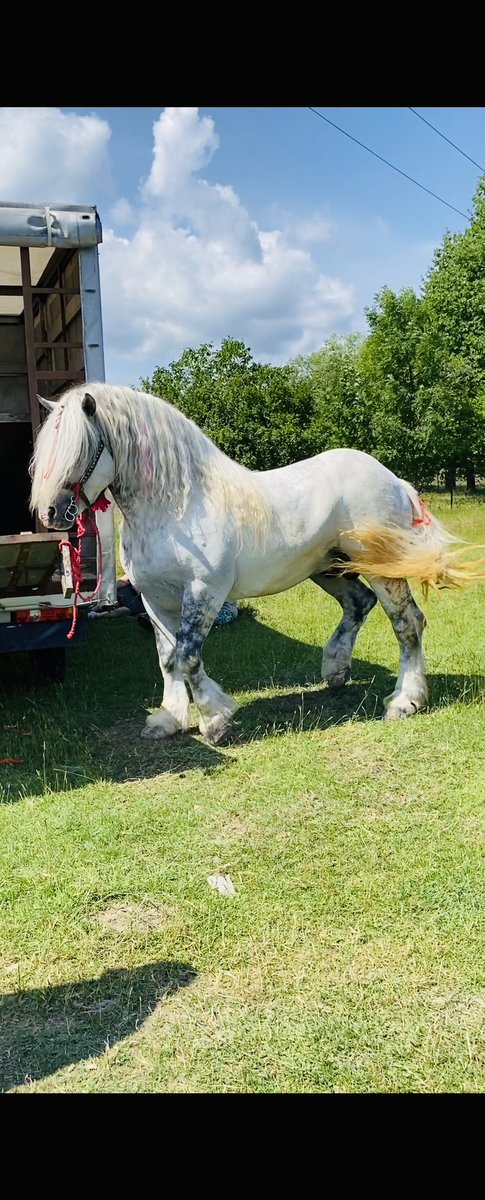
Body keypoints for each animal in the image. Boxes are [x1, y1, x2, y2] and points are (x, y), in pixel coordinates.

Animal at [30, 383, 484, 743]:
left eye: (80, 450)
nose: (51, 514)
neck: (177, 507)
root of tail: (394, 480)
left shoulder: (204, 593)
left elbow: (188, 656)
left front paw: (215, 720)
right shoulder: (154, 599)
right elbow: (167, 658)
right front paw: (167, 720)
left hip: (379, 568)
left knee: (407, 622)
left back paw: (405, 701)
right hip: (329, 569)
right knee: (359, 604)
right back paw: (335, 671)